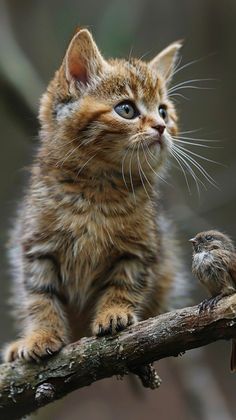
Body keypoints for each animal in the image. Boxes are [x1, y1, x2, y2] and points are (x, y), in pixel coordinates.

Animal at [3, 27, 183, 362]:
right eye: (126, 109)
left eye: (163, 111)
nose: (161, 127)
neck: (97, 190)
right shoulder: (36, 248)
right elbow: (39, 298)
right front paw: (40, 335)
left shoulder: (139, 249)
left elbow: (125, 283)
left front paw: (114, 313)